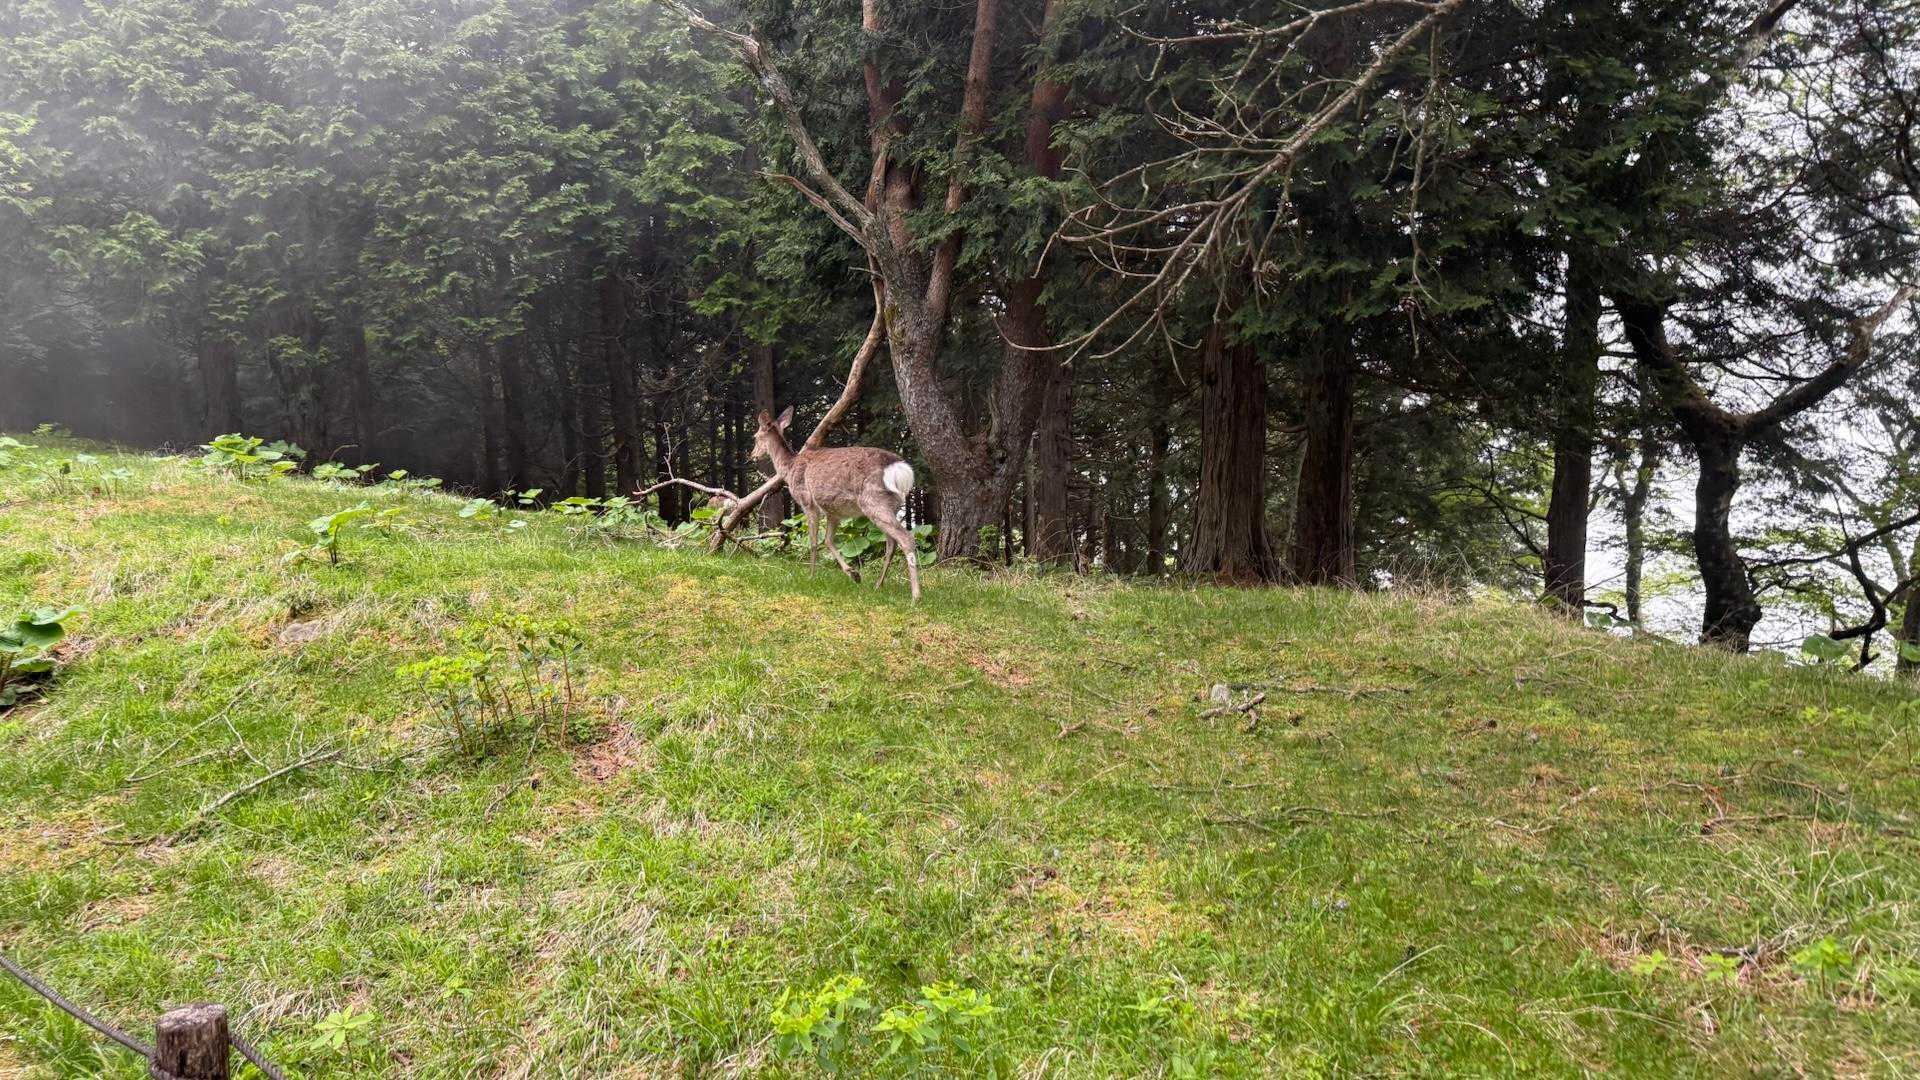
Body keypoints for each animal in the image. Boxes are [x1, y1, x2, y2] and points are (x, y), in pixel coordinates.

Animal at [750, 405, 922, 602]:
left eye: (755, 436)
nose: (752, 455)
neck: (789, 468)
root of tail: (900, 469)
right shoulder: (833, 512)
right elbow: (828, 540)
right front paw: (853, 574)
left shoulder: (807, 502)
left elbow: (813, 542)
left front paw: (811, 576)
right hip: (890, 505)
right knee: (891, 543)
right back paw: (878, 585)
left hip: (873, 501)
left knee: (906, 538)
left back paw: (915, 595)